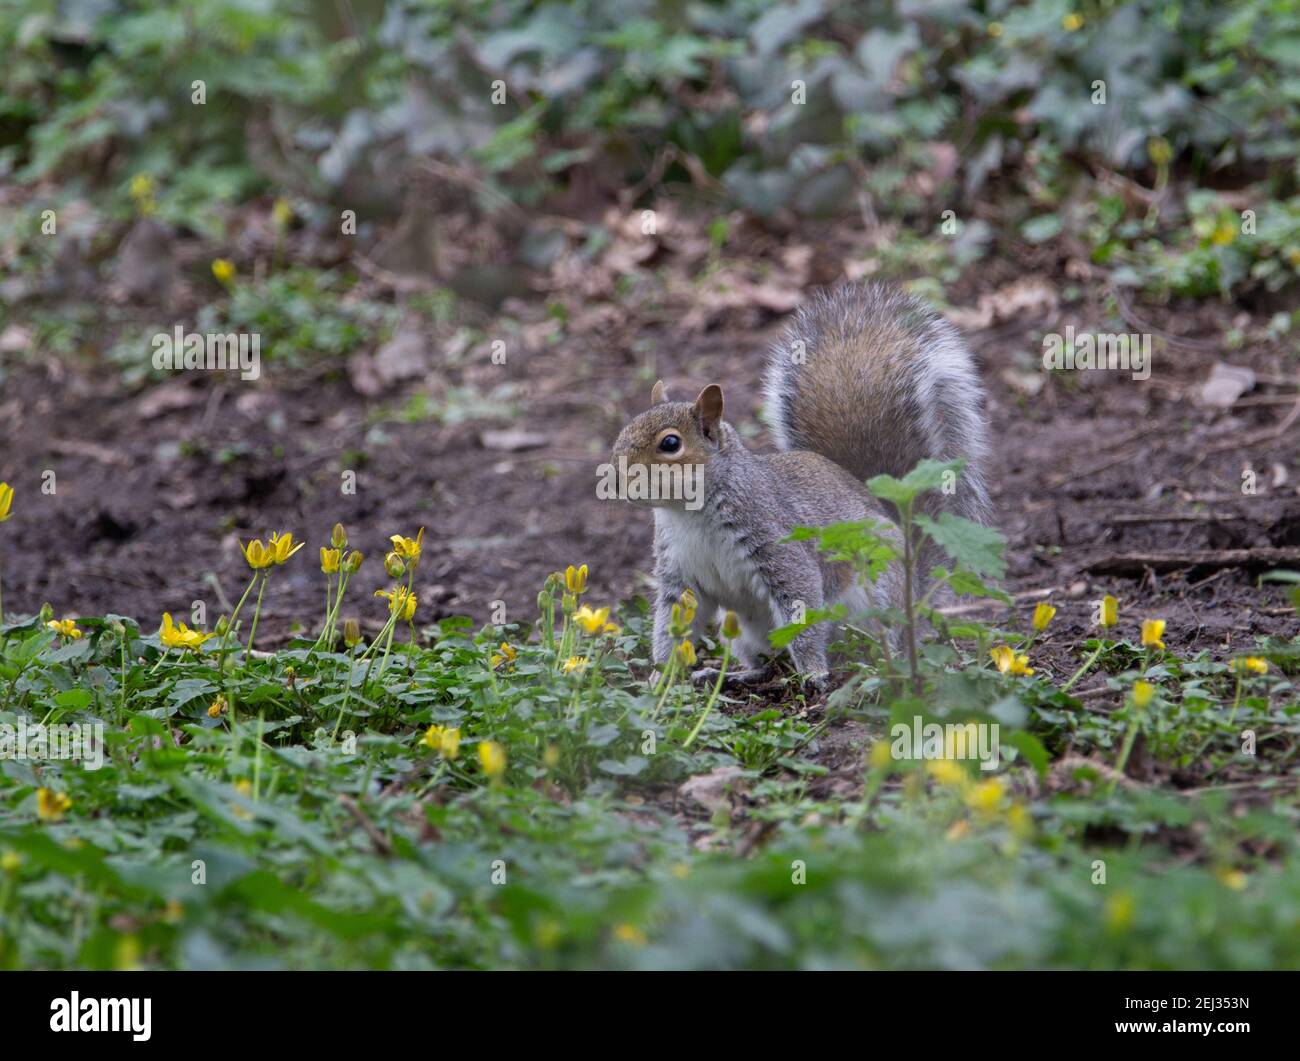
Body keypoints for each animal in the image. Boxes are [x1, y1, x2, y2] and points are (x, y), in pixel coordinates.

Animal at [613, 283, 987, 686]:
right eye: (626, 429)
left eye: (670, 444)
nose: (617, 480)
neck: (690, 513)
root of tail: (912, 598)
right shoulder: (677, 571)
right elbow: (674, 622)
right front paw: (660, 678)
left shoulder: (776, 540)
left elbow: (802, 607)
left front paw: (813, 674)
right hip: (745, 631)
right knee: (765, 661)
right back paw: (734, 676)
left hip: (872, 595)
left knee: (874, 650)